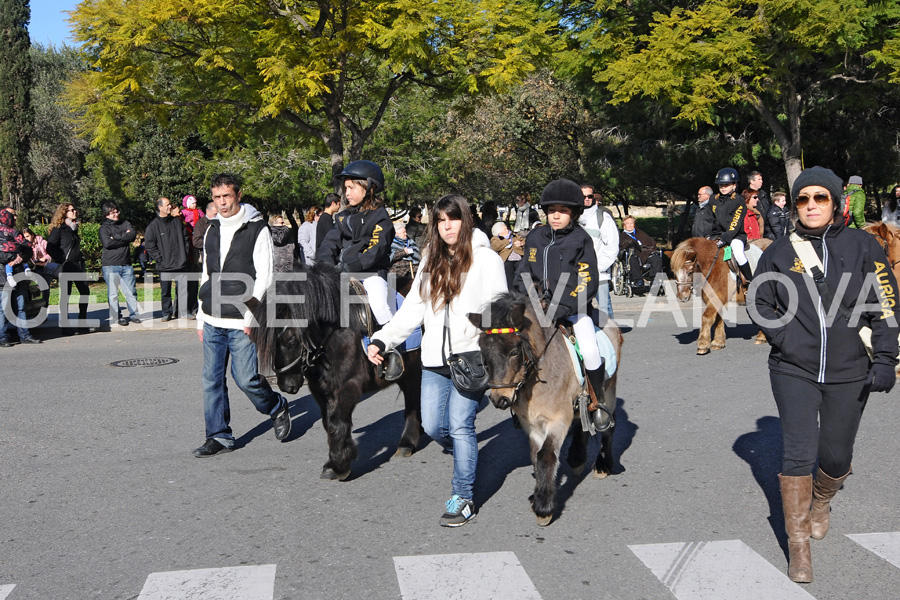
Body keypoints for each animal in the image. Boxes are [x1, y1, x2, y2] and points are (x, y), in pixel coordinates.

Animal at [253, 264, 422, 480]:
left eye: (290, 340)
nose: (285, 385)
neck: (335, 335)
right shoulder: (321, 390)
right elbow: (328, 423)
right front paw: (337, 461)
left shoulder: (348, 386)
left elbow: (336, 421)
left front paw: (338, 465)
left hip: (413, 371)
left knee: (413, 402)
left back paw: (407, 443)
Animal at [468, 294, 624, 524]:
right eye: (484, 353)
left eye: (513, 351)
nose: (500, 399)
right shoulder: (532, 425)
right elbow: (536, 456)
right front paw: (539, 496)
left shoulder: (557, 420)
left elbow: (546, 456)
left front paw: (544, 508)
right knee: (581, 420)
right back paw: (577, 457)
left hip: (609, 388)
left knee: (607, 425)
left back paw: (603, 464)